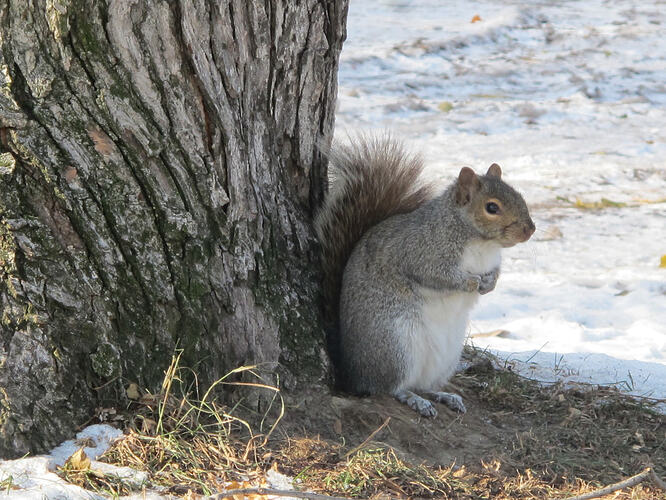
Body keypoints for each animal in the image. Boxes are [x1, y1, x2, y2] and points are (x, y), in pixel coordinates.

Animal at [316, 136, 535, 417]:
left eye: (519, 195)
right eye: (492, 207)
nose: (530, 229)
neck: (481, 243)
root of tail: (350, 369)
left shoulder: (492, 261)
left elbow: (495, 274)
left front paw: (488, 284)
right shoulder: (420, 253)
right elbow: (437, 276)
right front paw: (470, 282)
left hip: (446, 357)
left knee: (421, 384)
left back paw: (442, 395)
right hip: (395, 347)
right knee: (387, 388)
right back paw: (413, 399)